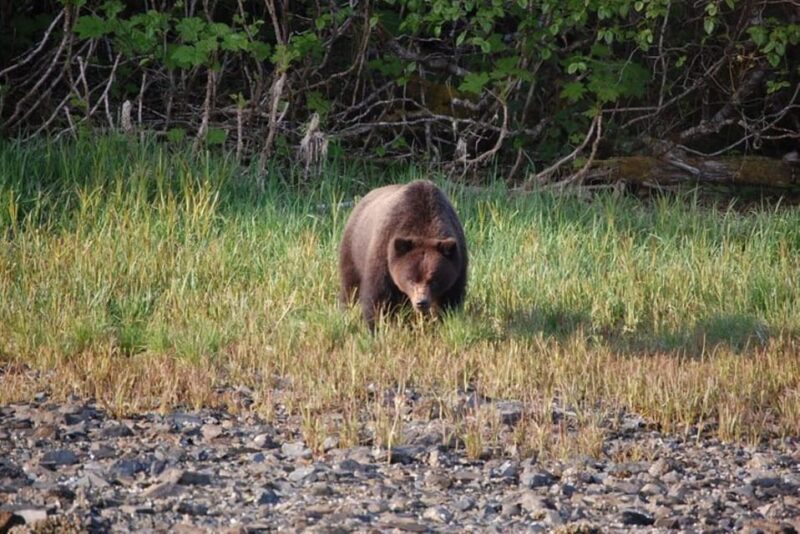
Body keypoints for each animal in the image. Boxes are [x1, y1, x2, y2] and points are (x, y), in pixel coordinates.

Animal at [338, 179, 468, 329]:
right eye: (411, 279)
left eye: (433, 279)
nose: (421, 302)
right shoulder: (385, 251)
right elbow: (378, 296)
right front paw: (375, 325)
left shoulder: (458, 263)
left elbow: (450, 298)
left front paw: (444, 321)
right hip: (354, 248)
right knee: (350, 285)